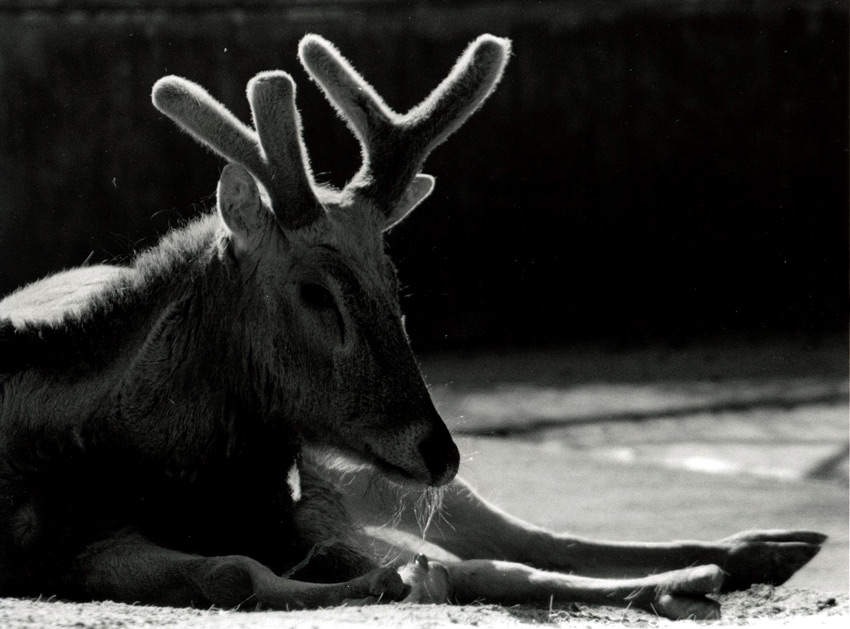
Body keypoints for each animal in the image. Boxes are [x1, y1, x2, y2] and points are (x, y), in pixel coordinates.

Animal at [0, 34, 820, 620]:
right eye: (315, 293)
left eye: (396, 287)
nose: (438, 450)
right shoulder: (62, 549)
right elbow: (237, 572)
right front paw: (388, 582)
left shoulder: (306, 503)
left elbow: (480, 562)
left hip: (363, 470)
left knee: (527, 533)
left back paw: (755, 550)